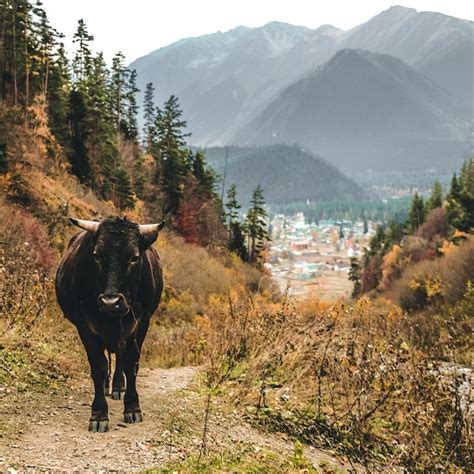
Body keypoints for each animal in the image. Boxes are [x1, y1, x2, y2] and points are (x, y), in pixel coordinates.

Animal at [55, 217, 165, 432]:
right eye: (96, 256)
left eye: (134, 257)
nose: (110, 302)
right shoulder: (85, 324)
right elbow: (98, 366)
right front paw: (98, 414)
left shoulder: (141, 322)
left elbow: (131, 364)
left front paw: (132, 407)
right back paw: (107, 386)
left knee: (120, 356)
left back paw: (118, 387)